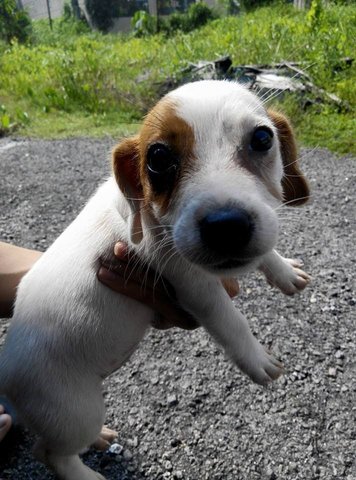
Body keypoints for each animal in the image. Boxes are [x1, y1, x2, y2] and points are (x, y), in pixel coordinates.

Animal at [0, 80, 308, 478]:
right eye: (158, 158)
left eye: (261, 138)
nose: (227, 226)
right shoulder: (195, 284)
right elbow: (232, 321)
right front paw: (258, 360)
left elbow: (266, 251)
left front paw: (284, 272)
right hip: (73, 411)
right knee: (50, 453)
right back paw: (87, 474)